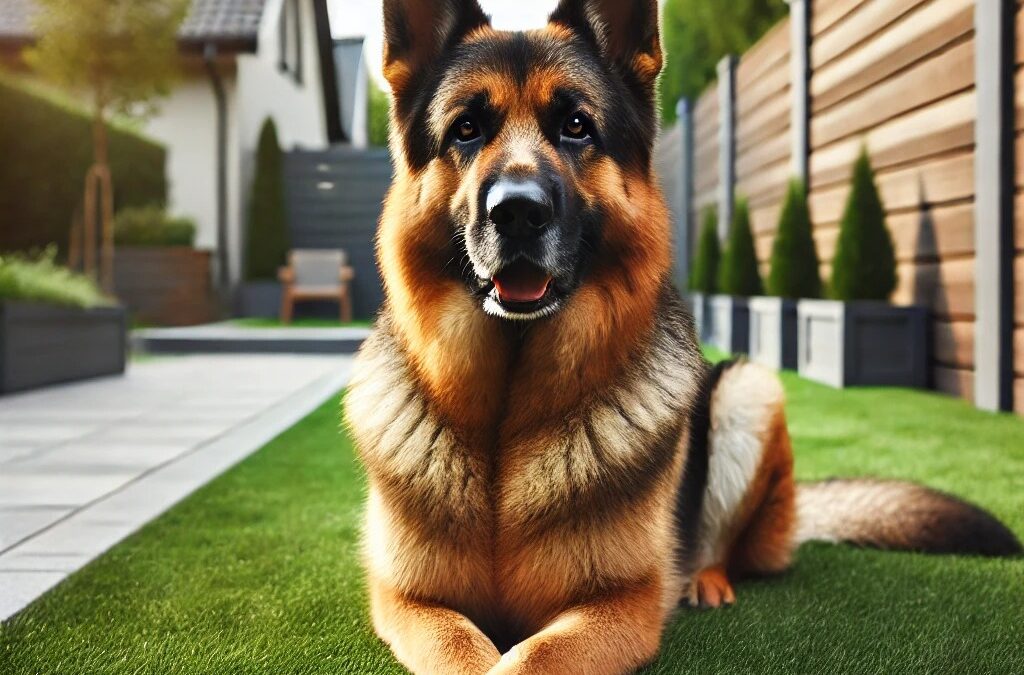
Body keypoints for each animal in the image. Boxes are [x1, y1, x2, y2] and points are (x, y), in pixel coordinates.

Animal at [344, 2, 1024, 671]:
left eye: (576, 126)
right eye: (466, 130)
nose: (517, 212)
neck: (505, 419)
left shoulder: (624, 606)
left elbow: (531, 658)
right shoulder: (410, 602)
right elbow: (464, 653)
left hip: (748, 390)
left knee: (718, 542)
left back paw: (704, 579)